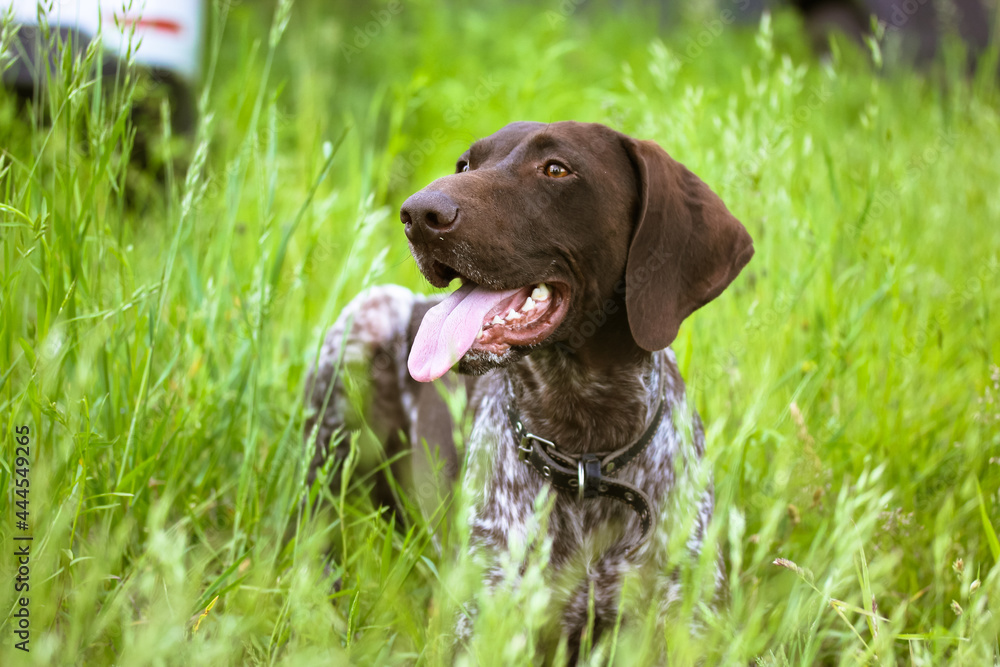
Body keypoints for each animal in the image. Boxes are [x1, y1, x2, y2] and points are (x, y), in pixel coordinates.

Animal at [302, 118, 752, 656]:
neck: (583, 446)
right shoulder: (483, 628)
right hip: (361, 327)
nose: (417, 214)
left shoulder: (692, 625)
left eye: (556, 169)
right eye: (465, 165)